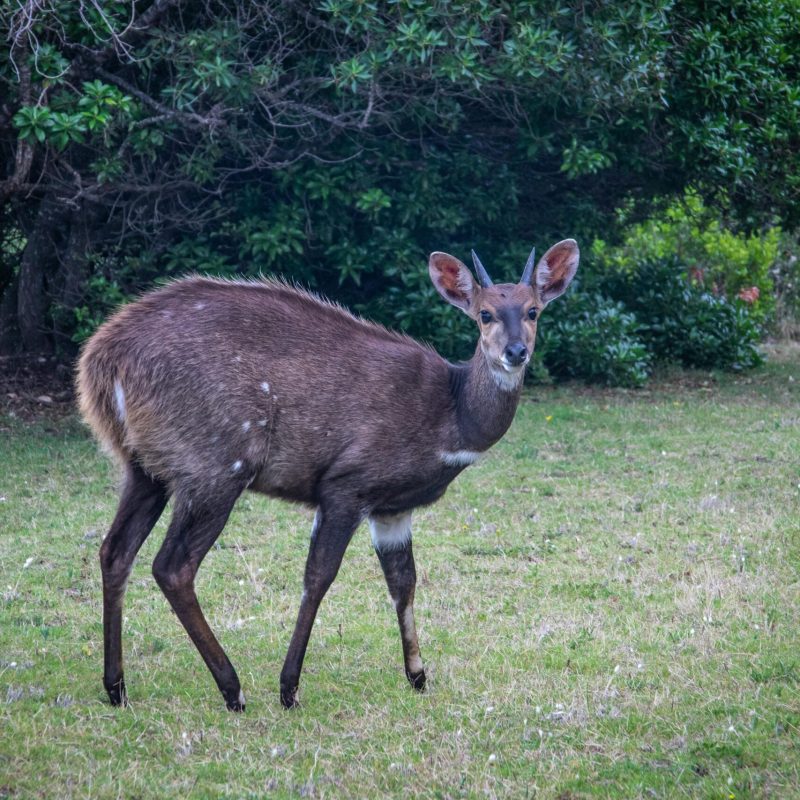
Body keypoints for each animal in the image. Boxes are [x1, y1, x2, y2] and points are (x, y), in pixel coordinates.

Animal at [76, 239, 578, 711]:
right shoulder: (346, 486)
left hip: (144, 468)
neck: (451, 415)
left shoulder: (391, 508)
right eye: (485, 314)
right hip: (216, 468)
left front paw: (418, 675)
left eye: (533, 310)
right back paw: (232, 690)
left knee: (114, 551)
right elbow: (319, 576)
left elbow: (403, 582)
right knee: (172, 566)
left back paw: (116, 688)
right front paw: (289, 689)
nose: (516, 352)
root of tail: (98, 362)